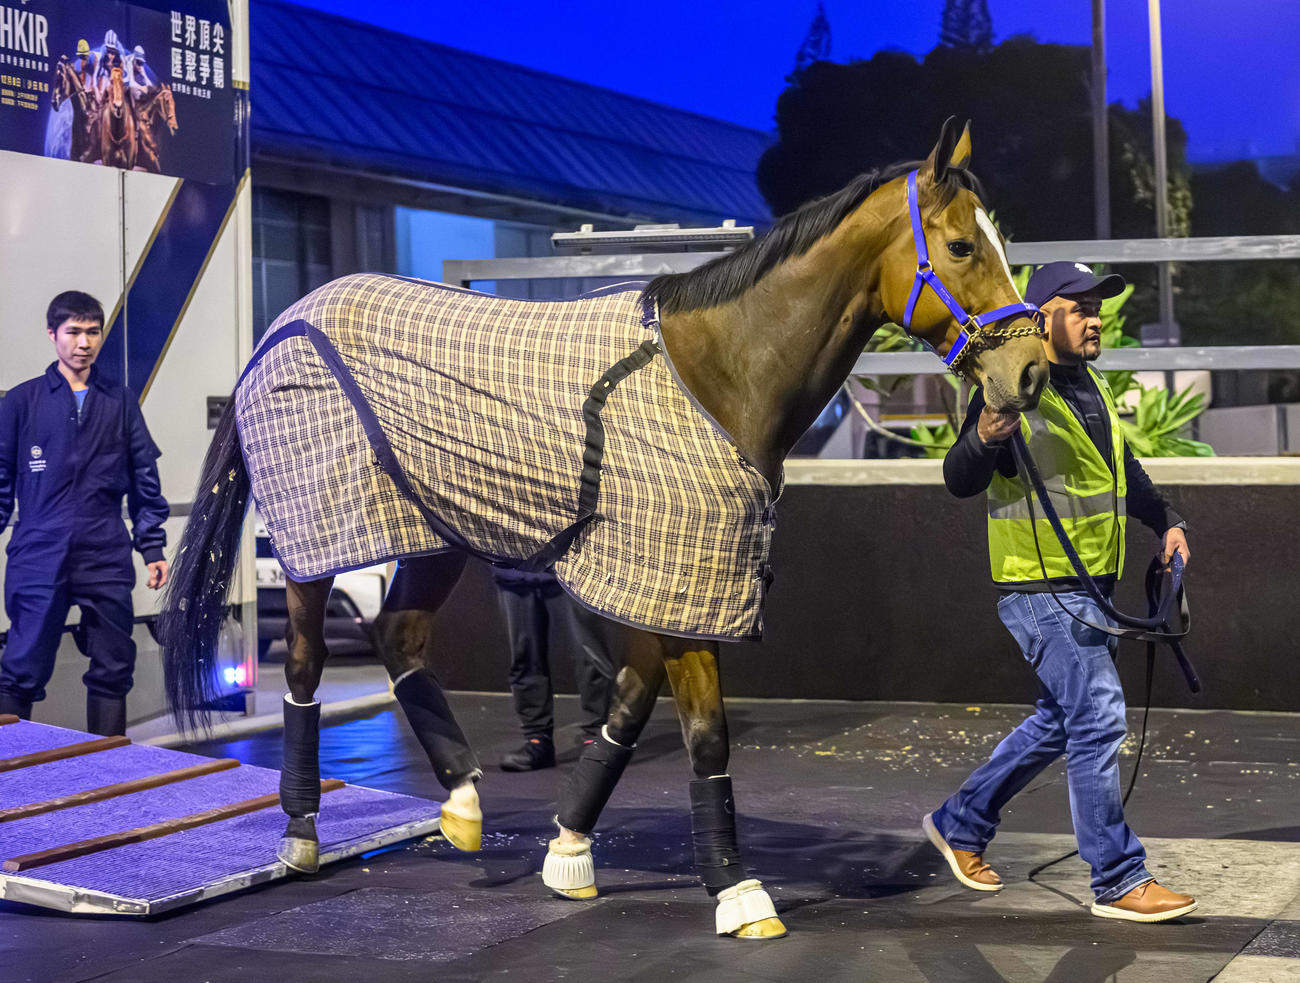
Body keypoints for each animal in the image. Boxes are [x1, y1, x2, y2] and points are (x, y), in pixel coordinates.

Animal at [159, 119, 1048, 941]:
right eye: (962, 245)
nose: (1031, 371)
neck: (717, 376)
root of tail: (281, 325)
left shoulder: (673, 584)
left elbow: (625, 705)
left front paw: (570, 851)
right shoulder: (683, 587)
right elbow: (706, 735)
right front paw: (739, 893)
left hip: (432, 532)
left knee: (398, 636)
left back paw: (463, 804)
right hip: (318, 540)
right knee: (306, 663)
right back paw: (301, 834)